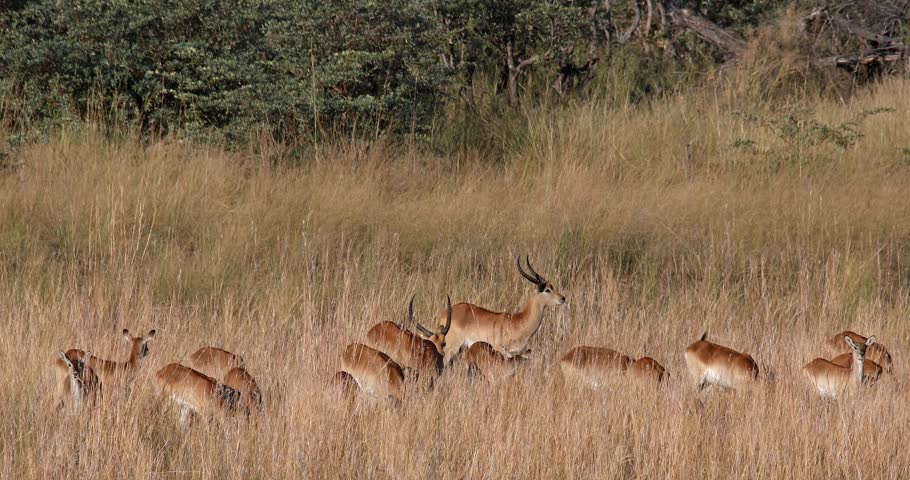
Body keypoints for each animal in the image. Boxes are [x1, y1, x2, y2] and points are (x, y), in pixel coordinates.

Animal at [437, 256, 566, 365]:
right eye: (547, 290)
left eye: (552, 286)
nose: (563, 298)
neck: (518, 322)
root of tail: (444, 312)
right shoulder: (500, 351)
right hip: (451, 348)